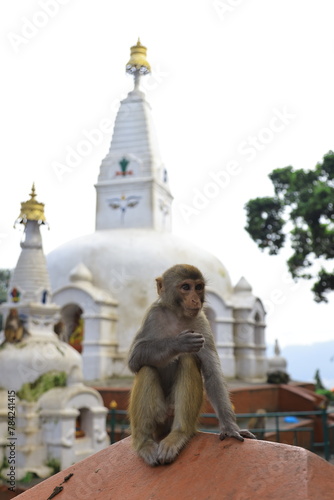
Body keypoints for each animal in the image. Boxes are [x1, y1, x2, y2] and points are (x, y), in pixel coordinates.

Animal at [129, 264, 256, 466]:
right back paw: (144, 443)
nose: (195, 299)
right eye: (185, 287)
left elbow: (212, 373)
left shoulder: (201, 322)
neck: (177, 315)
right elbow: (134, 359)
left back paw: (178, 435)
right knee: (146, 367)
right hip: (159, 414)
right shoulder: (152, 315)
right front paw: (178, 343)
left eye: (199, 287)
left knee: (188, 360)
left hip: (175, 412)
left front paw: (230, 428)